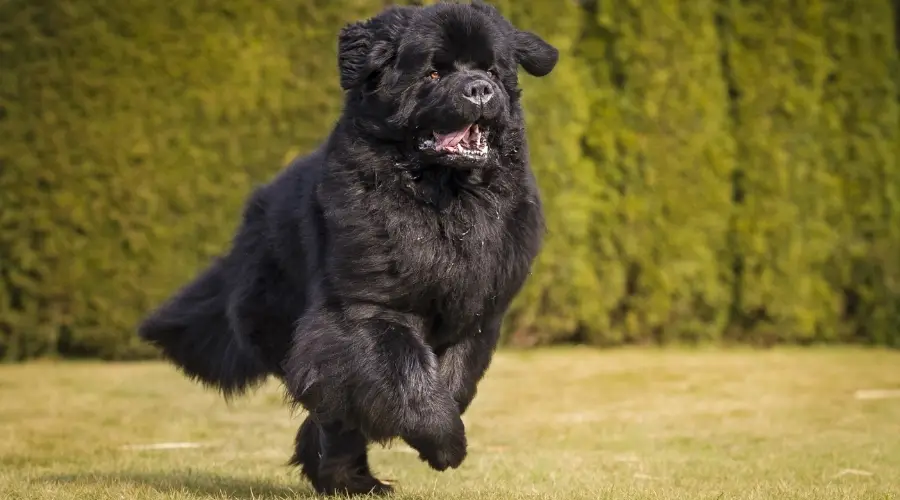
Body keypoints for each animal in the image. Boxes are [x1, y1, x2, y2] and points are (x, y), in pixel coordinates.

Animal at [136, 0, 556, 496]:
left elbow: (453, 379)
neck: (443, 197)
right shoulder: (367, 308)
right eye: (434, 72)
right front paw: (443, 441)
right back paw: (345, 476)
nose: (480, 89)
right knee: (329, 406)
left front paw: (439, 435)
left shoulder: (476, 313)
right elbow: (403, 372)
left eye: (492, 70)